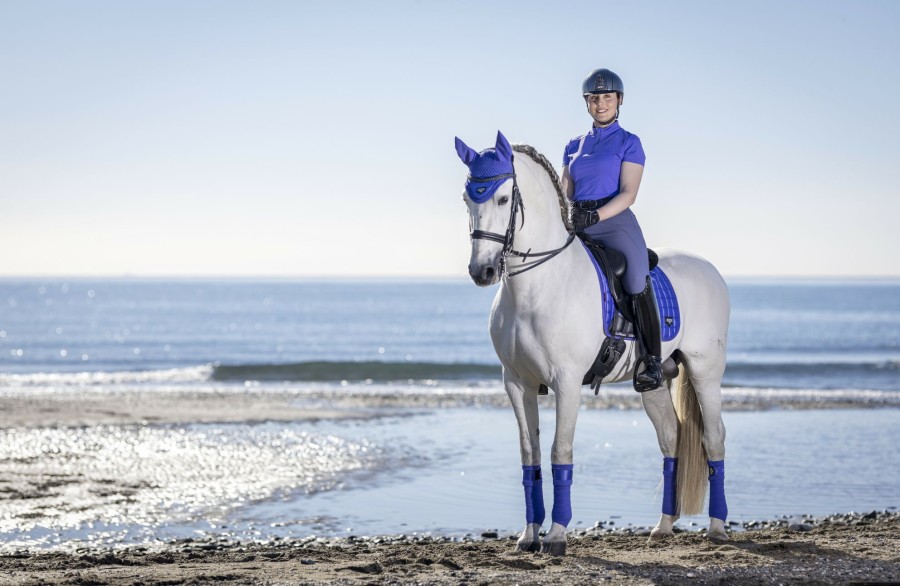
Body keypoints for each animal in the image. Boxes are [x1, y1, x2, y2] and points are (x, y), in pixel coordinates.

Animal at [458, 130, 732, 556]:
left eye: (502, 199)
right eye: (467, 199)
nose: (482, 271)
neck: (538, 283)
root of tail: (709, 268)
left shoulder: (567, 382)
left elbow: (560, 452)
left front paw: (556, 536)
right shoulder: (516, 383)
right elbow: (530, 456)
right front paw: (528, 536)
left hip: (706, 371)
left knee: (714, 438)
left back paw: (717, 528)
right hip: (655, 382)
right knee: (671, 438)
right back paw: (663, 526)